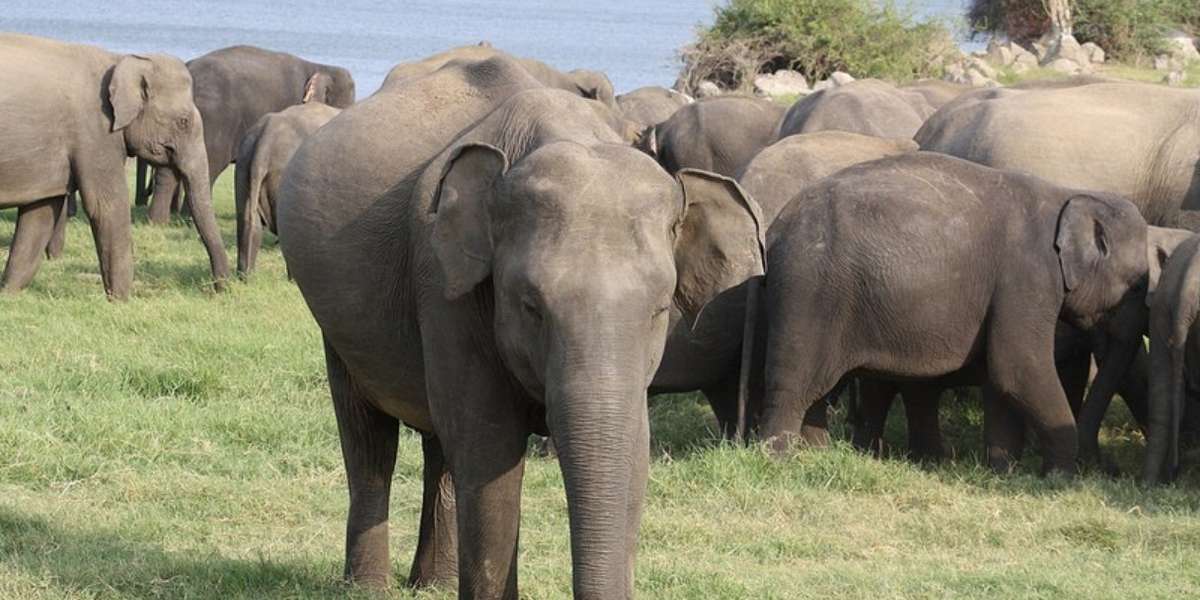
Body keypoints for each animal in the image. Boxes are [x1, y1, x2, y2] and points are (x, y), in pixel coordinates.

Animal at [0, 34, 228, 299]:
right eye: (183, 121)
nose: (219, 288)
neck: (120, 59)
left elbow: (41, 212)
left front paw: (9, 293)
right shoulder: (95, 132)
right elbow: (107, 205)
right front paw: (122, 300)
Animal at [278, 53, 763, 598]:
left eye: (660, 310)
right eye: (532, 306)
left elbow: (631, 451)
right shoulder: (444, 282)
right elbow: (489, 448)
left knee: (439, 443)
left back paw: (434, 583)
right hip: (337, 324)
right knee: (369, 437)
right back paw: (369, 587)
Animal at [758, 152, 1154, 475]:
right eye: (1137, 285)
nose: (1108, 470)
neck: (1068, 194)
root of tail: (776, 226)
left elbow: (1001, 378)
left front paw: (1003, 471)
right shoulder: (1026, 278)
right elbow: (1018, 368)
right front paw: (1059, 478)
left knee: (822, 388)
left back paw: (818, 454)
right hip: (808, 292)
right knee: (796, 381)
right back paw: (779, 459)